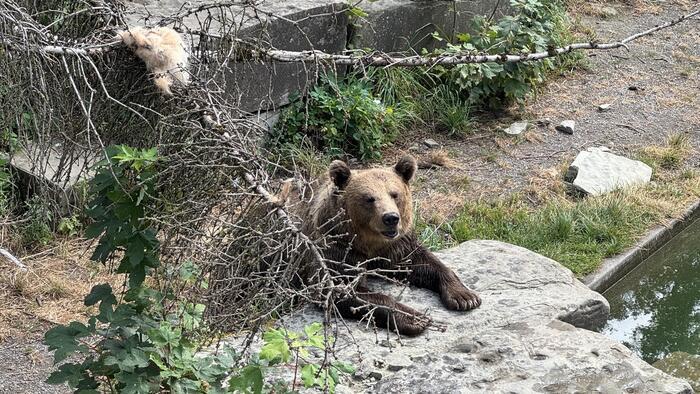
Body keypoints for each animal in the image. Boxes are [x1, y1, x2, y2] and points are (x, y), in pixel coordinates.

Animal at [282, 155, 478, 334]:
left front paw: (465, 297)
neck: (369, 241)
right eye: (369, 198)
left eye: (394, 194)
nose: (391, 218)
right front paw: (414, 318)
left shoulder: (396, 246)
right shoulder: (338, 248)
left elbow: (422, 261)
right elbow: (343, 288)